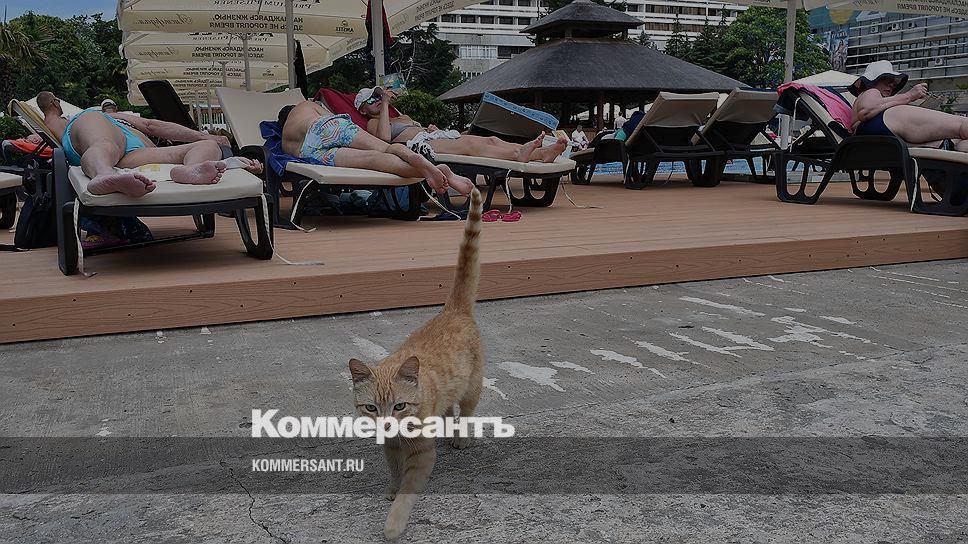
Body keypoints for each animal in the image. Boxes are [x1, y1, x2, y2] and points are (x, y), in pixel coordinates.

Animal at [348, 187, 485, 541]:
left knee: (465, 411)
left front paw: (394, 523)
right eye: (371, 408)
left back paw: (461, 435)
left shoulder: (421, 456)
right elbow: (395, 473)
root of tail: (453, 310)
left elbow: (408, 491)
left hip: (472, 387)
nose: (386, 425)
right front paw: (391, 488)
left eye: (399, 406)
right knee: (449, 409)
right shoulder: (391, 448)